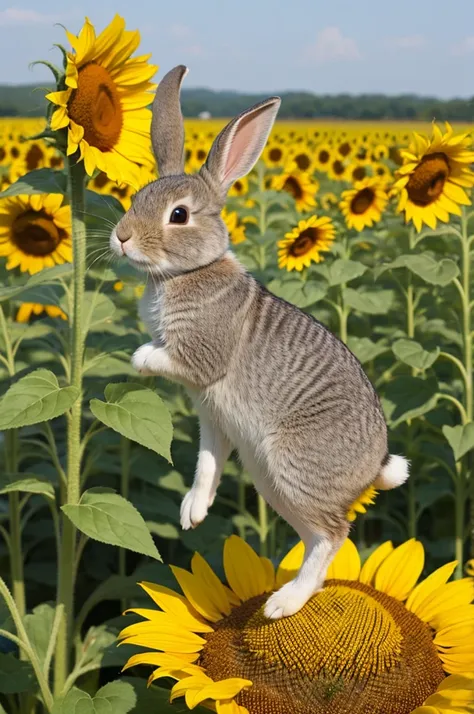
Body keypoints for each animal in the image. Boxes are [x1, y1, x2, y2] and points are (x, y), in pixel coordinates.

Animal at [109, 64, 410, 616]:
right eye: (136, 199)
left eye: (178, 215)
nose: (122, 237)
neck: (188, 271)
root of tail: (374, 468)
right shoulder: (213, 418)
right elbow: (206, 464)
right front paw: (192, 514)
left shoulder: (201, 362)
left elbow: (162, 358)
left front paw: (138, 356)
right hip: (269, 477)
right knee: (318, 537)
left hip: (291, 466)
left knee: (335, 535)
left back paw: (284, 604)